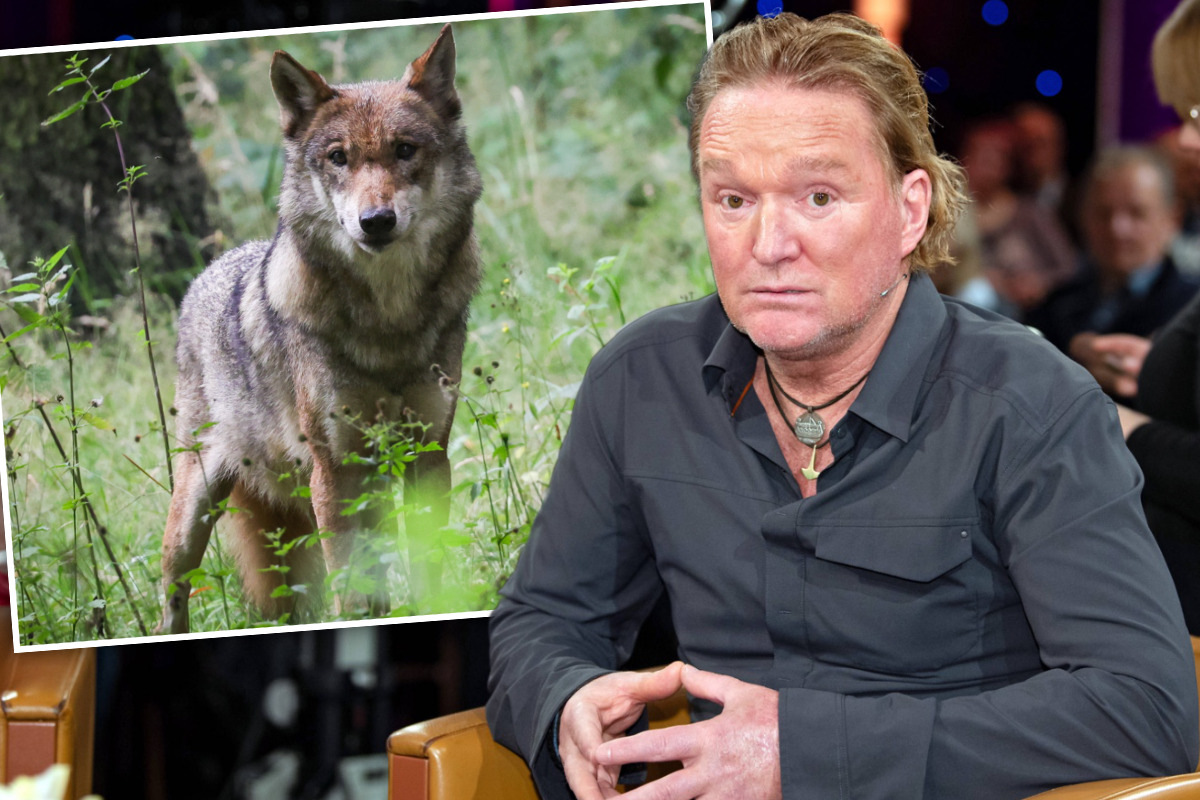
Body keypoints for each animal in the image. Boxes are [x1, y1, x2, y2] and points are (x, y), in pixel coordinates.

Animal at [158, 25, 482, 634]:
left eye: (405, 150)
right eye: (338, 158)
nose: (375, 222)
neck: (389, 322)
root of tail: (206, 274)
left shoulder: (428, 455)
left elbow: (428, 566)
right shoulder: (334, 470)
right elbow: (351, 591)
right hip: (196, 508)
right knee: (172, 587)